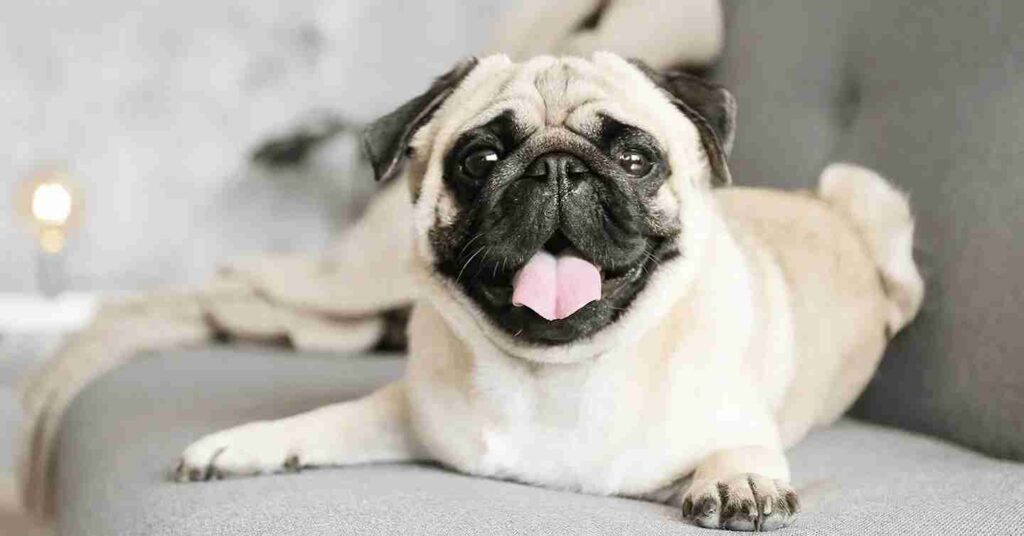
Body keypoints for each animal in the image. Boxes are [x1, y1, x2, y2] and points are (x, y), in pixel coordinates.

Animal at [180, 53, 925, 532]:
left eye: (636, 160)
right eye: (480, 160)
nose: (559, 168)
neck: (556, 373)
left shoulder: (736, 423)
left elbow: (739, 447)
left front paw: (738, 479)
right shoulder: (408, 415)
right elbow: (324, 421)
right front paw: (243, 445)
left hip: (869, 195)